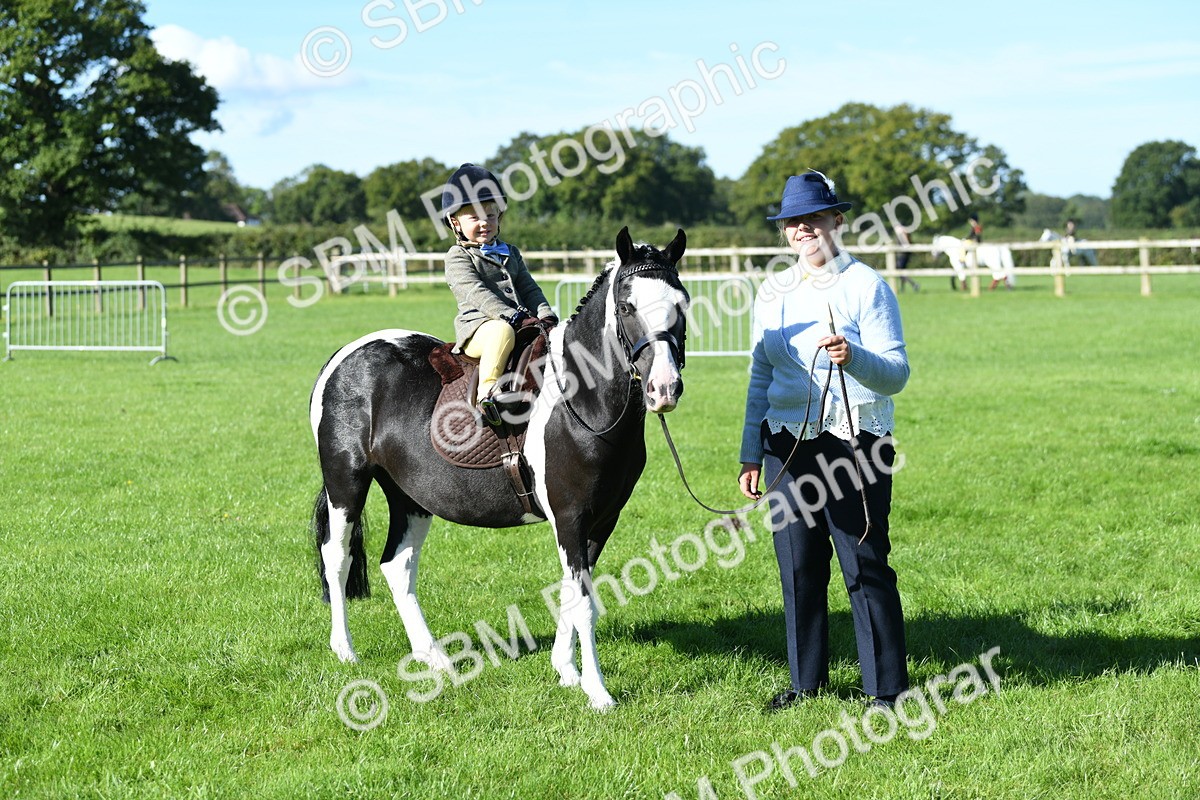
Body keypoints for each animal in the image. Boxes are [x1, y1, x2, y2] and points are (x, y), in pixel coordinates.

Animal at [309, 226, 689, 710]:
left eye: (682, 303)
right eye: (626, 307)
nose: (665, 388)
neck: (581, 398)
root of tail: (345, 355)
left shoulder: (601, 520)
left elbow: (571, 593)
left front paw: (565, 671)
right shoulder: (570, 517)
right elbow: (584, 602)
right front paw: (598, 692)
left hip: (410, 498)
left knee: (398, 565)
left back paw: (434, 657)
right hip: (346, 484)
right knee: (336, 558)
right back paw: (345, 650)